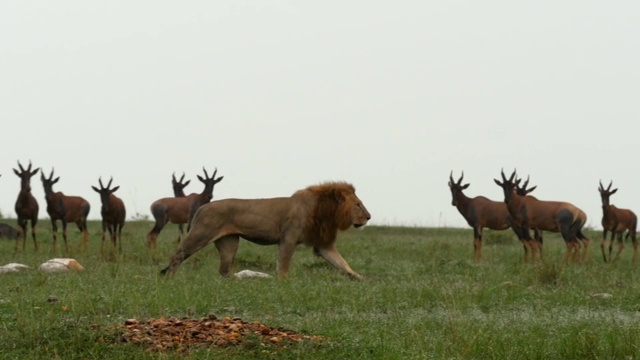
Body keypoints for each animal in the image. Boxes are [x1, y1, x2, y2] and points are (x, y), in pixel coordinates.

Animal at [159, 181, 370, 280]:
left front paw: (362, 279)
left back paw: (249, 278)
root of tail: (203, 207)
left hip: (229, 242)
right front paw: (283, 283)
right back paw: (169, 280)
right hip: (200, 235)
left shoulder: (323, 244)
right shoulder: (288, 238)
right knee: (176, 257)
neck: (325, 212)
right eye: (358, 205)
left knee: (224, 271)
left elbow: (343, 264)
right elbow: (283, 265)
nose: (369, 217)